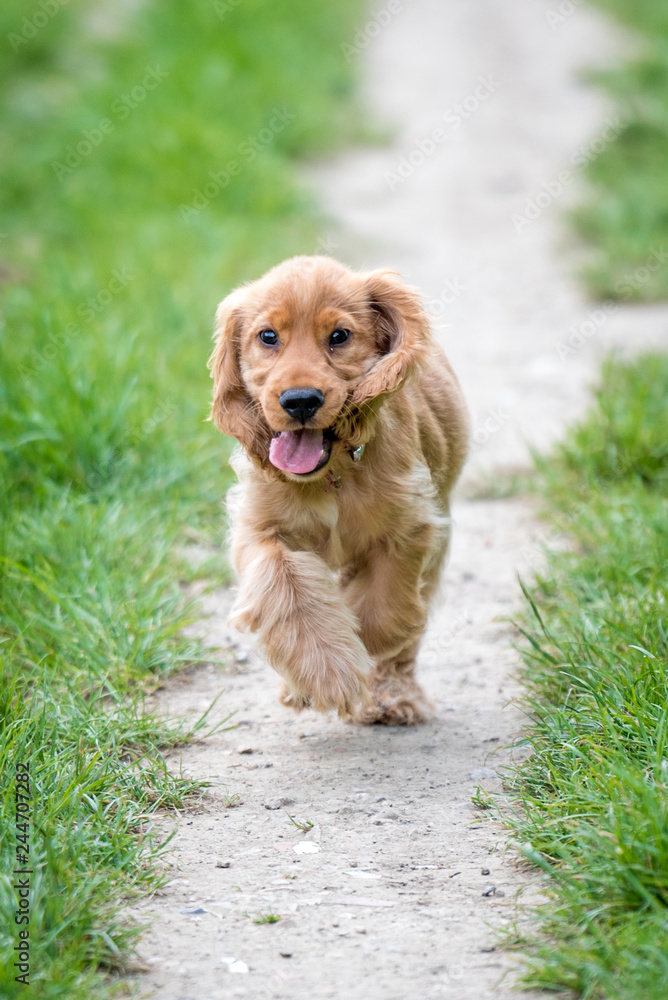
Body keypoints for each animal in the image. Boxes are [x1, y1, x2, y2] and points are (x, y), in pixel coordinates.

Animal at [210, 256, 470, 728]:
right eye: (267, 336)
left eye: (339, 336)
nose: (300, 401)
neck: (332, 474)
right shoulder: (260, 530)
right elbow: (287, 587)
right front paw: (322, 675)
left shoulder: (412, 527)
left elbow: (383, 611)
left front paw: (353, 664)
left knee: (408, 625)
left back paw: (395, 698)